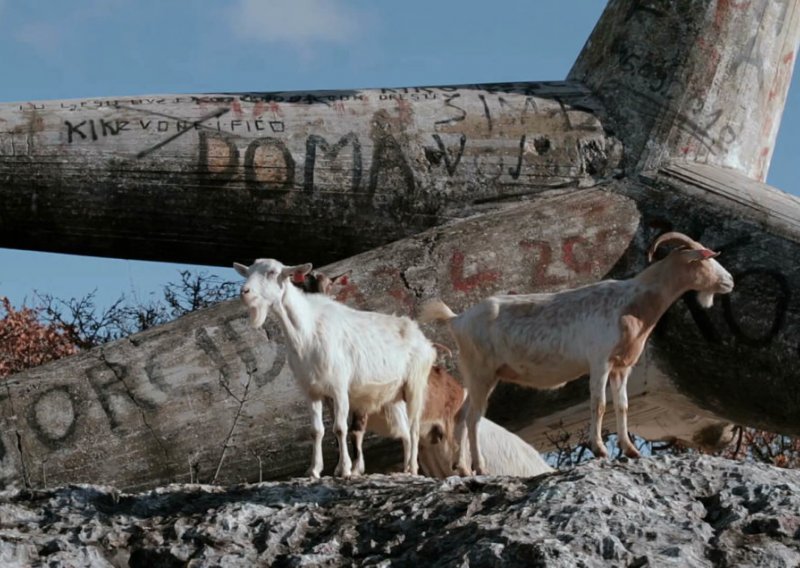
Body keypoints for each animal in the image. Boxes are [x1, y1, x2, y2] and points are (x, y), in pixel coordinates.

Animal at [234, 260, 434, 478]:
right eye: (248, 272)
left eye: (272, 272)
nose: (245, 292)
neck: (306, 331)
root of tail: (422, 338)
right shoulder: (311, 390)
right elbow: (316, 430)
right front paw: (314, 470)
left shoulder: (339, 388)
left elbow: (340, 428)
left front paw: (345, 469)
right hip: (393, 396)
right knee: (405, 431)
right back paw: (405, 469)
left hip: (415, 385)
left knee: (414, 428)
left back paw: (413, 468)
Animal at [422, 232, 736, 474]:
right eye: (705, 258)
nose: (730, 281)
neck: (631, 303)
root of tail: (457, 319)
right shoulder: (600, 361)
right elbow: (599, 404)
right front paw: (600, 450)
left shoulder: (622, 366)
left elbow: (622, 406)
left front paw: (631, 450)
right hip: (481, 372)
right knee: (473, 418)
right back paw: (480, 466)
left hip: (478, 375)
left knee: (462, 416)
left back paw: (462, 468)